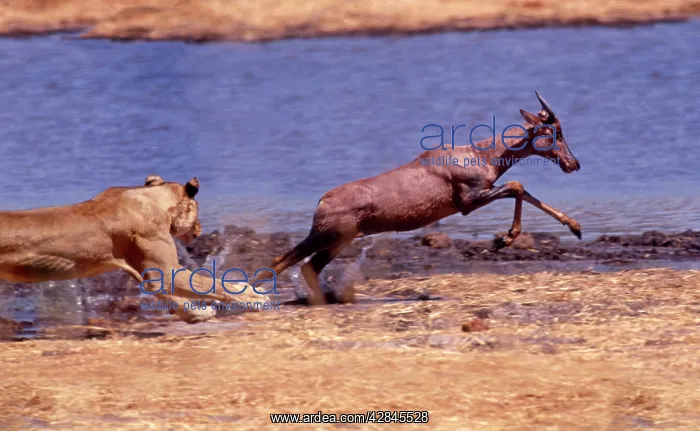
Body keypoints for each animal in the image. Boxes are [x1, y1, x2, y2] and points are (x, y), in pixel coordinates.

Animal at [0, 175, 270, 323]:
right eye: (197, 208)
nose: (199, 229)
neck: (152, 198)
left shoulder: (152, 273)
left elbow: (172, 297)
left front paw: (197, 314)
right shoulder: (167, 270)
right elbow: (214, 284)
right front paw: (253, 296)